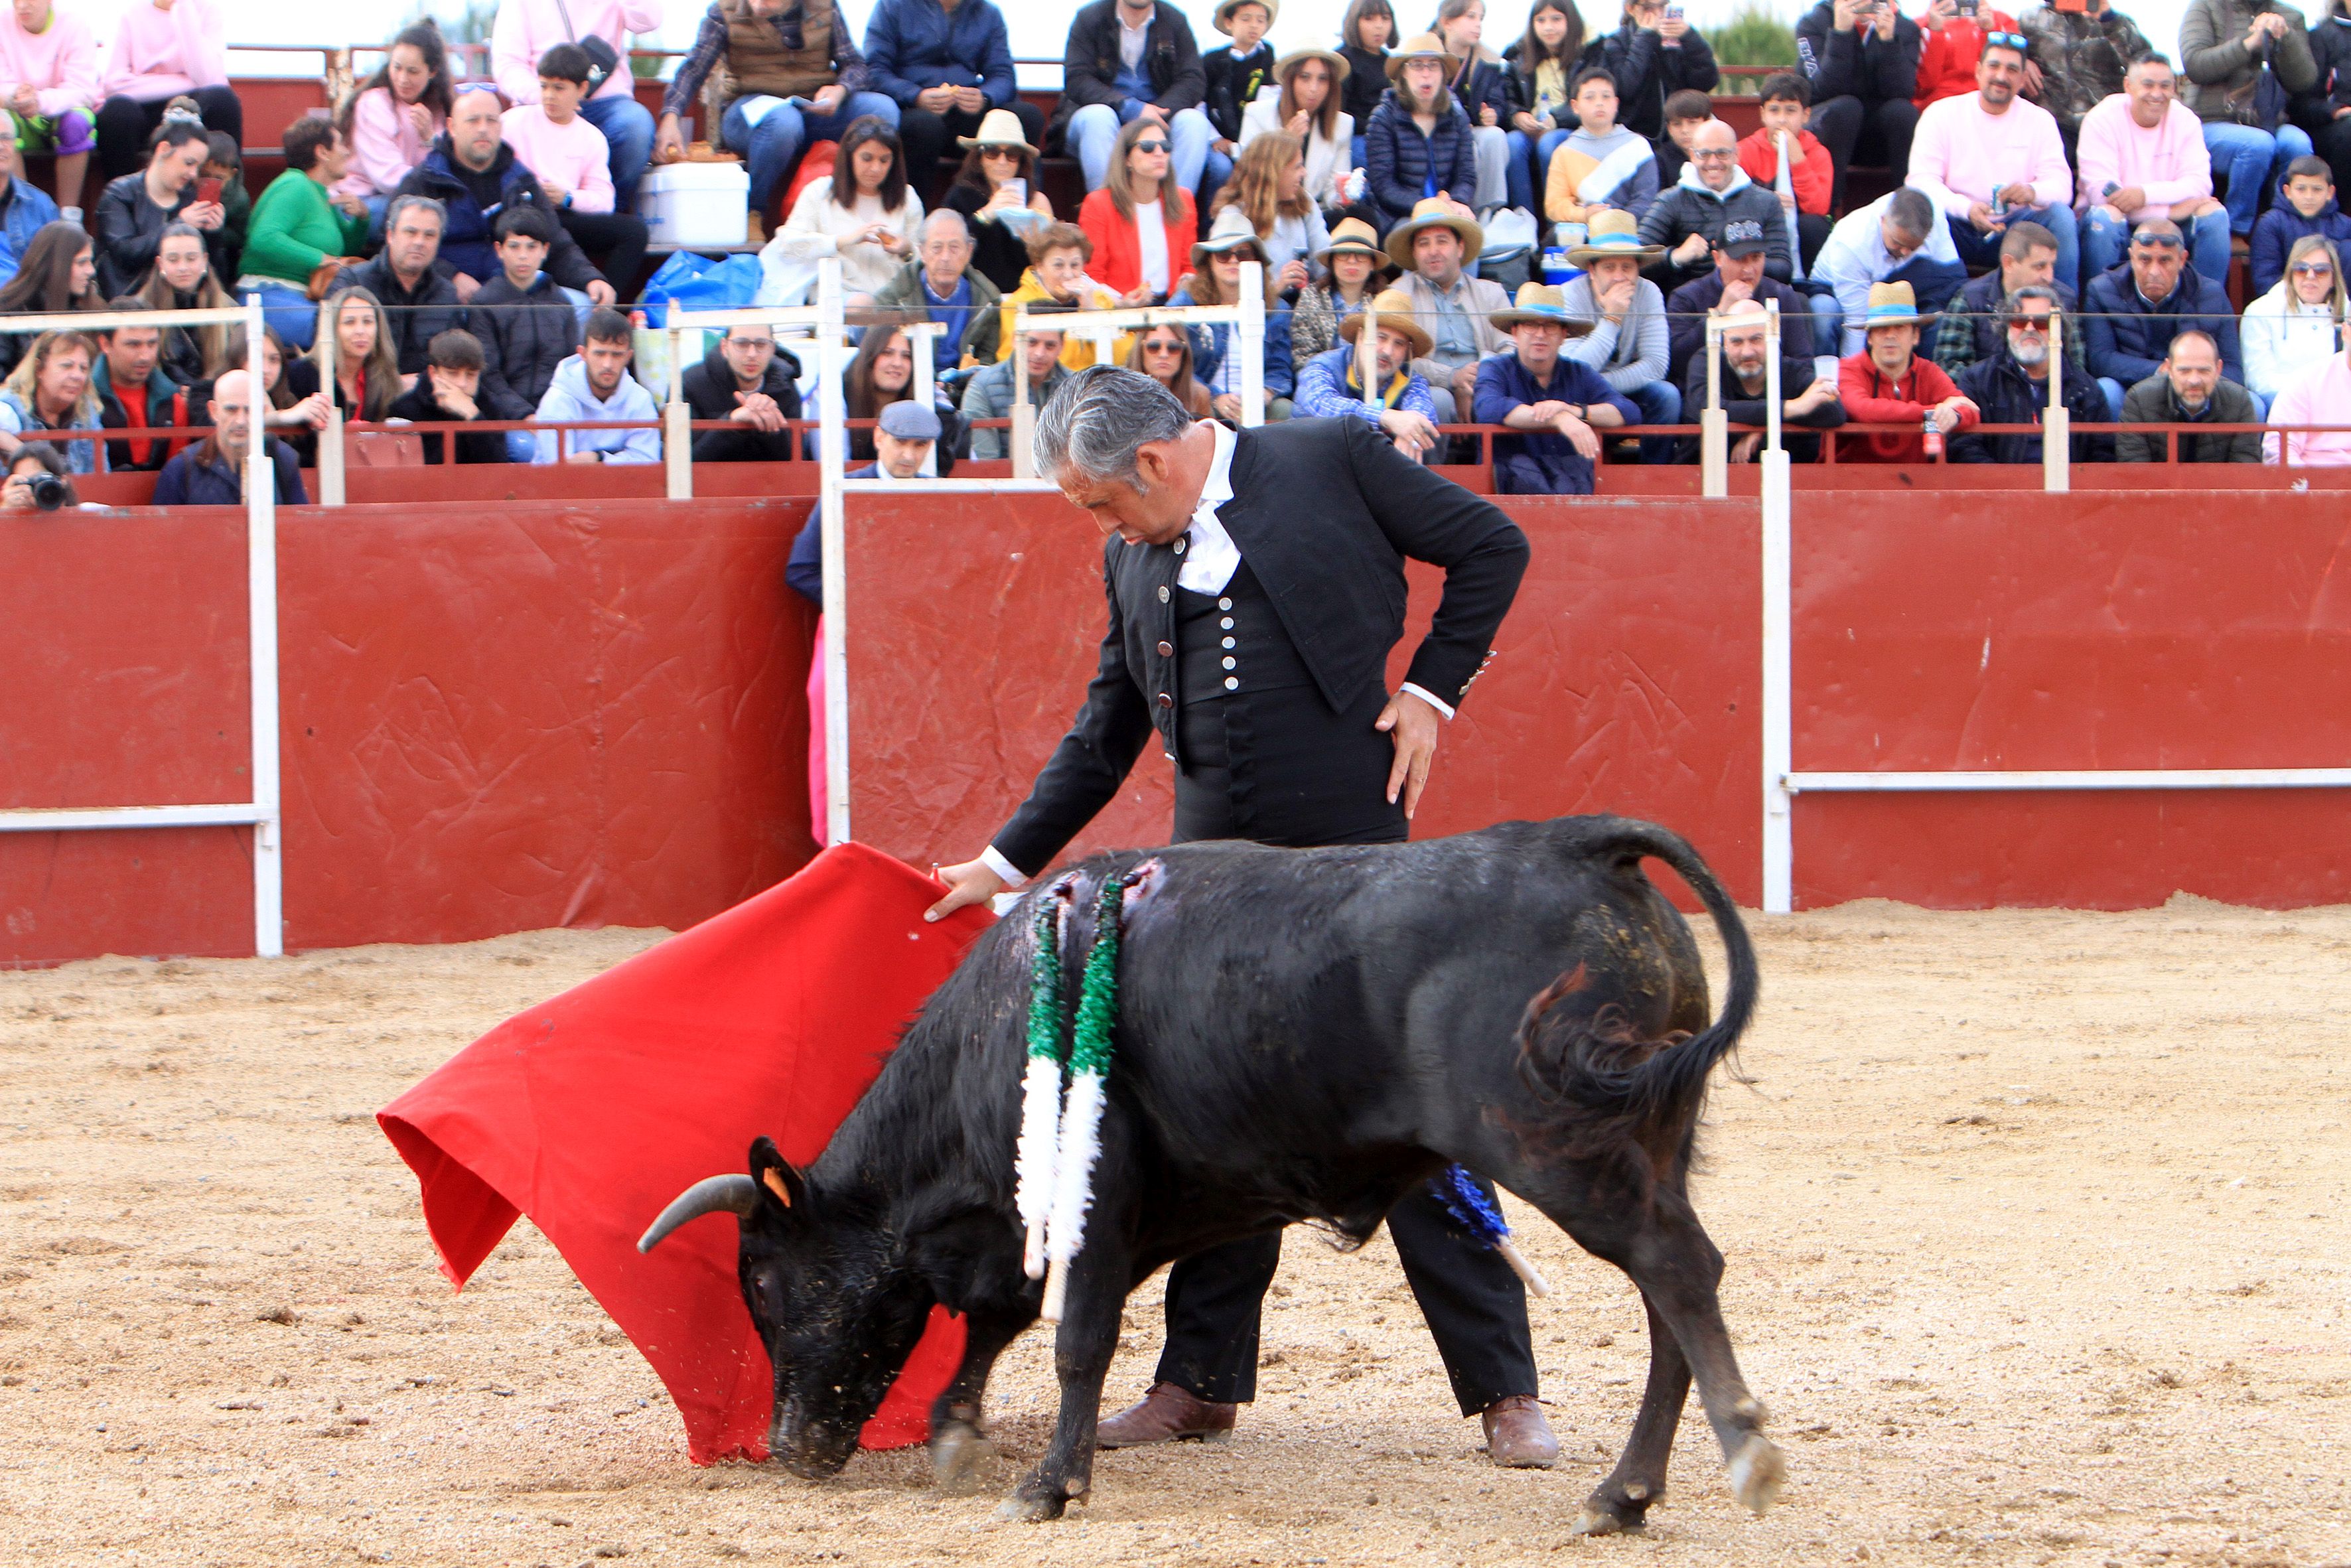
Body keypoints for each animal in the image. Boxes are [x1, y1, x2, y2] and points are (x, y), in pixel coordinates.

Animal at [644, 818, 1777, 1542]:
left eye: (766, 1284)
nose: (787, 1447)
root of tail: (1579, 842)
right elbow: (999, 1319)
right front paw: (957, 1431)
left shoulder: (1091, 1200)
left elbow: (1073, 1337)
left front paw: (1046, 1483)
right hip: (1649, 1138)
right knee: (1665, 1300)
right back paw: (1623, 1494)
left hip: (1551, 1142)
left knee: (1677, 1267)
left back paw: (1740, 1456)